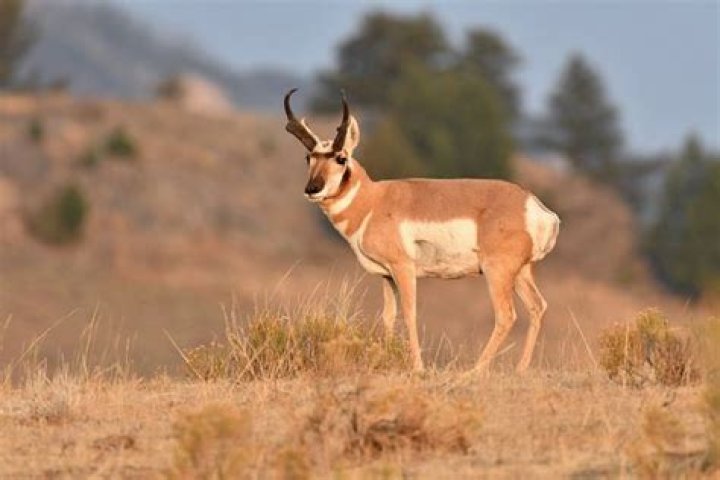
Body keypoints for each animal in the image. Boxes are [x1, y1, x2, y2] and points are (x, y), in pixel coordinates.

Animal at [283, 89, 560, 373]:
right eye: (309, 157)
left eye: (341, 158)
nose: (312, 189)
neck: (373, 201)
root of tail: (533, 205)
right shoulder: (386, 275)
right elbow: (388, 316)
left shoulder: (403, 268)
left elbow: (409, 313)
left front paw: (417, 367)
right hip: (521, 272)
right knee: (537, 306)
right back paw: (520, 369)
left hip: (497, 271)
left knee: (506, 315)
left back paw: (474, 372)